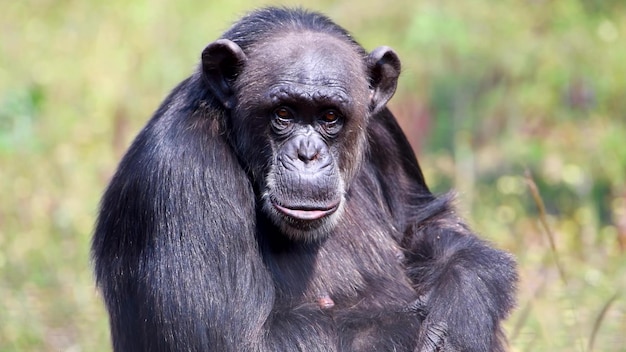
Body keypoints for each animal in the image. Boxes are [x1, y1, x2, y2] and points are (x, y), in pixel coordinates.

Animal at [90, 6, 516, 352]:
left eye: (329, 116)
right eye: (284, 112)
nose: (307, 155)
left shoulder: (384, 125)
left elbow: (426, 224)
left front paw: (461, 306)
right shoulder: (182, 168)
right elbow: (240, 340)